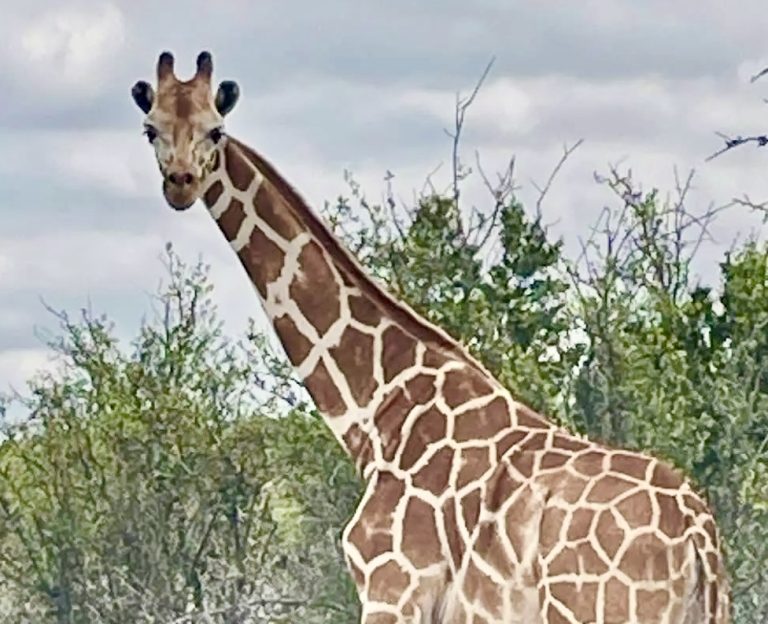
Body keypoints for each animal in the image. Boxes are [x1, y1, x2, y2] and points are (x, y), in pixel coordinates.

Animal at [131, 51, 730, 623]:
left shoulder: (391, 587)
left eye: (215, 131)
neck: (377, 411)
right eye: (151, 128)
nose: (180, 184)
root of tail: (699, 533)